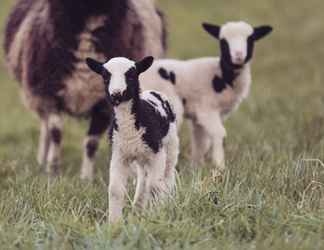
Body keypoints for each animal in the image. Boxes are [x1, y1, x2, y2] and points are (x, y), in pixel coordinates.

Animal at [3, 0, 167, 180]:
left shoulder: (103, 104)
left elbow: (91, 143)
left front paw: (86, 178)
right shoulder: (50, 94)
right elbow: (56, 133)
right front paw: (53, 171)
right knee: (45, 128)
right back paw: (42, 161)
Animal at [85, 56, 178, 223]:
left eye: (131, 75)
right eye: (105, 76)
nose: (116, 94)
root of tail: (154, 92)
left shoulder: (157, 152)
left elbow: (155, 186)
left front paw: (156, 216)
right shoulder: (118, 153)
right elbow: (115, 189)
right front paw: (114, 223)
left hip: (171, 145)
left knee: (167, 176)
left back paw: (165, 204)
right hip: (141, 157)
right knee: (143, 178)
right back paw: (138, 208)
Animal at [140, 22, 272, 178]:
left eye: (250, 39)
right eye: (223, 42)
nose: (238, 55)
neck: (222, 75)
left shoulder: (199, 118)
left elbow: (201, 142)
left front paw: (196, 168)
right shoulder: (206, 109)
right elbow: (218, 133)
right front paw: (220, 167)